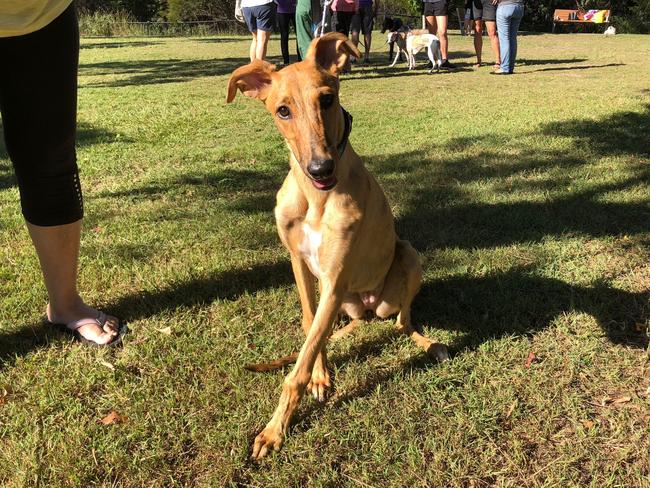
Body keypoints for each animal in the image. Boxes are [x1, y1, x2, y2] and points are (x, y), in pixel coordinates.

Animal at [225, 32, 448, 460]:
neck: (316, 198)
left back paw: (430, 344)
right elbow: (311, 329)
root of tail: (370, 307)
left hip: (408, 256)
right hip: (349, 301)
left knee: (402, 322)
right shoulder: (300, 264)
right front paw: (319, 375)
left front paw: (274, 430)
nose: (320, 169)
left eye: (327, 99)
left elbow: (300, 363)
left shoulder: (334, 276)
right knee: (348, 325)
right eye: (282, 111)